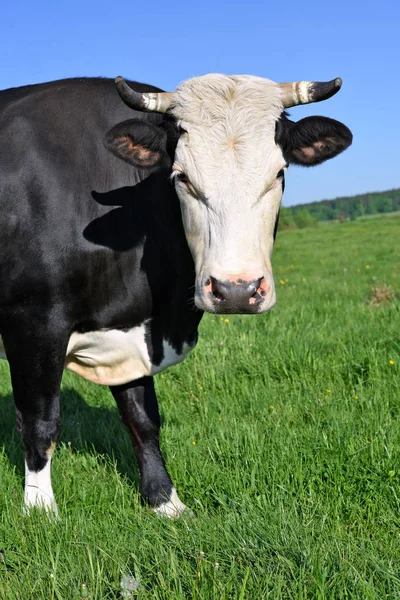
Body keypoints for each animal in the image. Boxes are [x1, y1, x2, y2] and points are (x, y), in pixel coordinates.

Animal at [0, 74, 350, 516]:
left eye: (278, 173)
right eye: (182, 177)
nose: (237, 290)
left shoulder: (130, 325)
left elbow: (142, 418)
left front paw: (164, 500)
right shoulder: (33, 321)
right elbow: (40, 421)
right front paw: (40, 510)